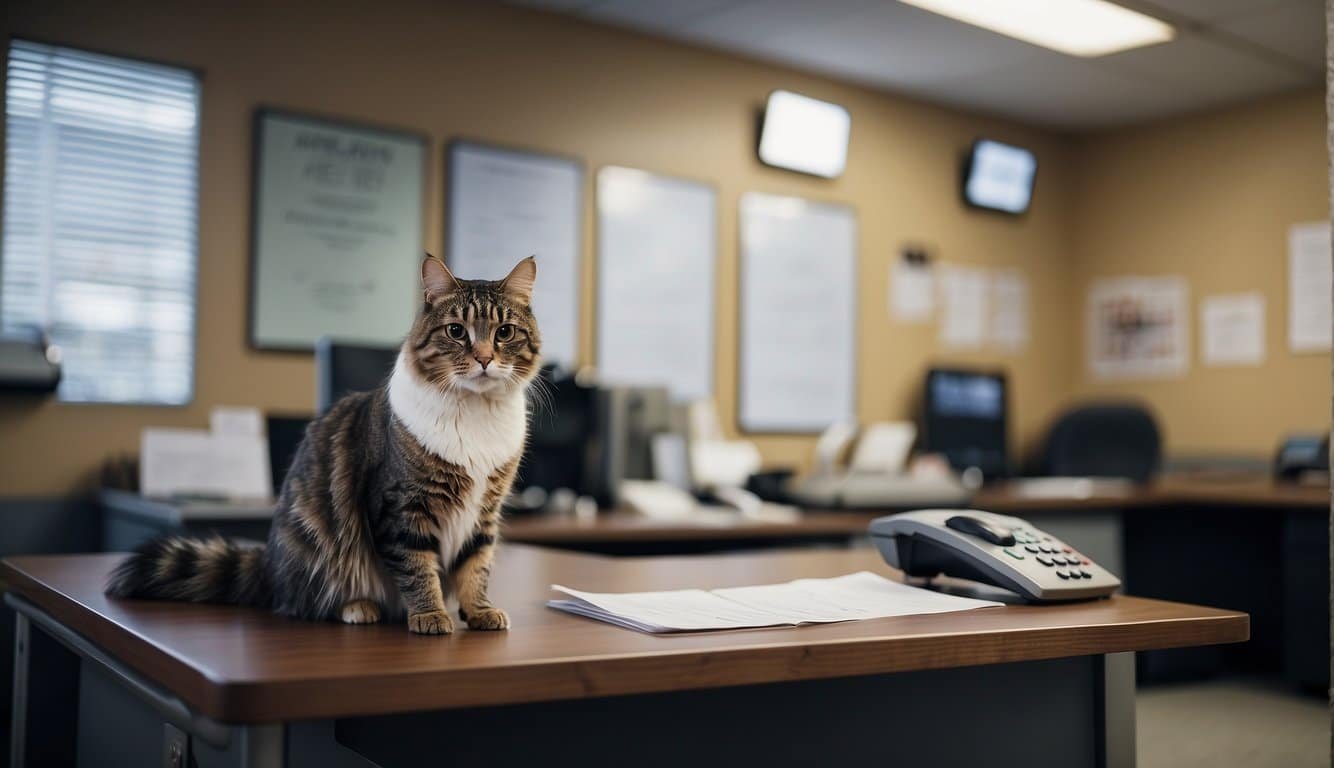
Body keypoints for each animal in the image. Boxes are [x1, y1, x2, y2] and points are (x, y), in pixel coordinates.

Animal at [106, 254, 538, 632]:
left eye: (504, 333)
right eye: (456, 331)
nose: (484, 358)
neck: (476, 414)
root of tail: (267, 566)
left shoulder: (485, 512)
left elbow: (475, 568)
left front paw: (479, 611)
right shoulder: (403, 506)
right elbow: (418, 569)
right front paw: (430, 615)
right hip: (319, 549)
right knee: (305, 602)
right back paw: (359, 608)